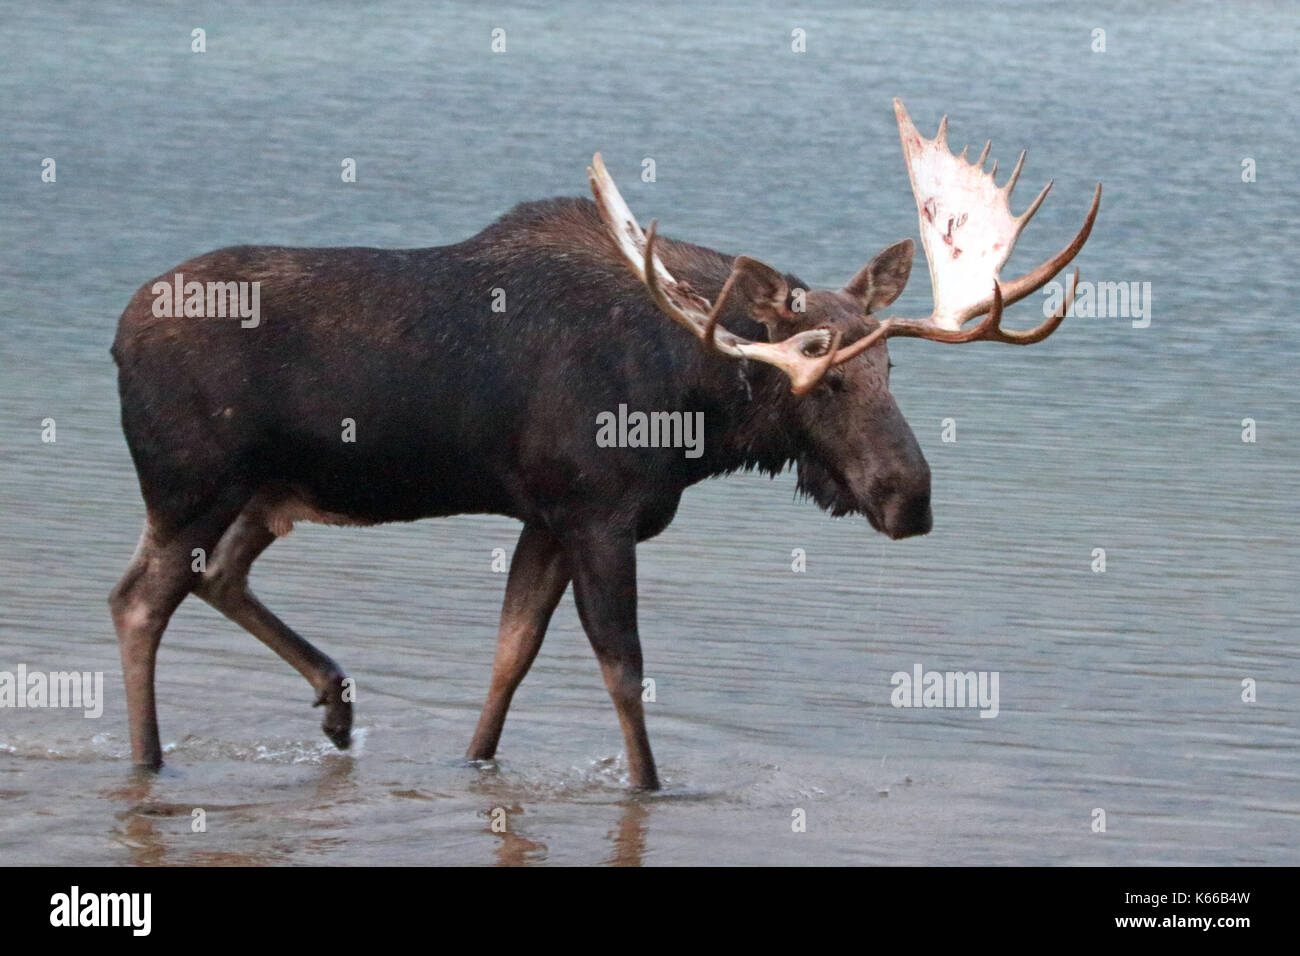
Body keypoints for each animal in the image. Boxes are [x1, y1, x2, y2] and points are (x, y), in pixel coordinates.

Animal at [109, 100, 1097, 790]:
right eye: (825, 377)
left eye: (893, 367)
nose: (910, 496)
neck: (694, 409)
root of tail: (113, 338)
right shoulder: (597, 515)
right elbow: (623, 670)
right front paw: (650, 788)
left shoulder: (546, 518)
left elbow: (510, 655)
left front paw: (475, 761)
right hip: (191, 487)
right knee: (139, 603)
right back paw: (153, 760)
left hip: (265, 494)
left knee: (216, 578)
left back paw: (335, 704)